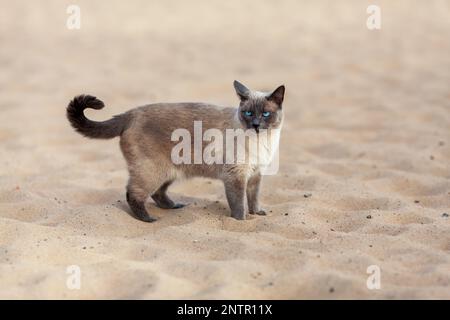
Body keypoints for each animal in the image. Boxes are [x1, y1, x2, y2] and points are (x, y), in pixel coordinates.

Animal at [67, 80, 284, 222]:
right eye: (248, 113)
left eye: (266, 114)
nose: (256, 125)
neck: (262, 141)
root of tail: (130, 113)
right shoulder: (235, 176)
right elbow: (239, 206)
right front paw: (242, 221)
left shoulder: (255, 174)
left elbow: (253, 198)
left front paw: (256, 214)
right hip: (153, 171)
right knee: (133, 193)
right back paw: (148, 219)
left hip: (169, 171)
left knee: (157, 193)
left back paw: (173, 207)